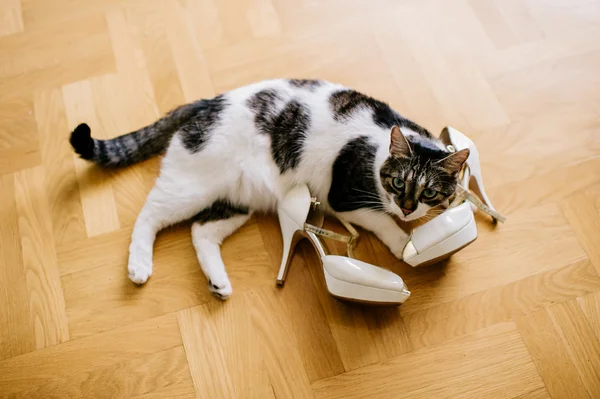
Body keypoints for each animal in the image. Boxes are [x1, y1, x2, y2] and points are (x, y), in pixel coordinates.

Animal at [69, 78, 468, 298]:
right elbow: (380, 220)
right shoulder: (344, 199)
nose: (406, 208)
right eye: (398, 182)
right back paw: (139, 265)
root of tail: (207, 102)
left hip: (237, 201)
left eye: (429, 193)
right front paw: (404, 242)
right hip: (191, 186)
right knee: (149, 214)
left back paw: (218, 282)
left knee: (201, 231)